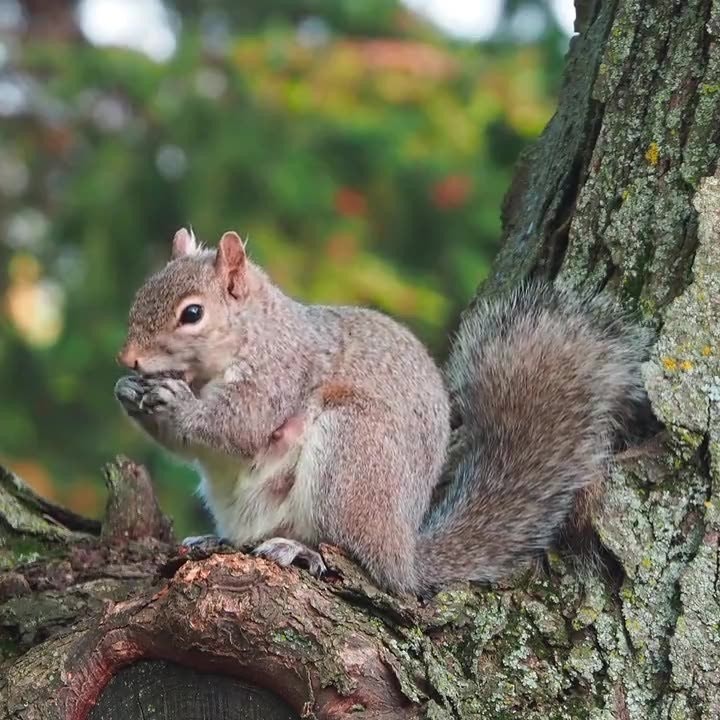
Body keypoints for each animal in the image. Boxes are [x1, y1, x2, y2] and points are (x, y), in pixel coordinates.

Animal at [114, 228, 649, 597]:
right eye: (139, 295)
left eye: (193, 314)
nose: (129, 359)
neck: (251, 334)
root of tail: (402, 551)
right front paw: (128, 391)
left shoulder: (281, 373)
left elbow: (240, 426)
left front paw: (177, 404)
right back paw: (216, 541)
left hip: (352, 453)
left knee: (346, 549)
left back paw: (300, 549)